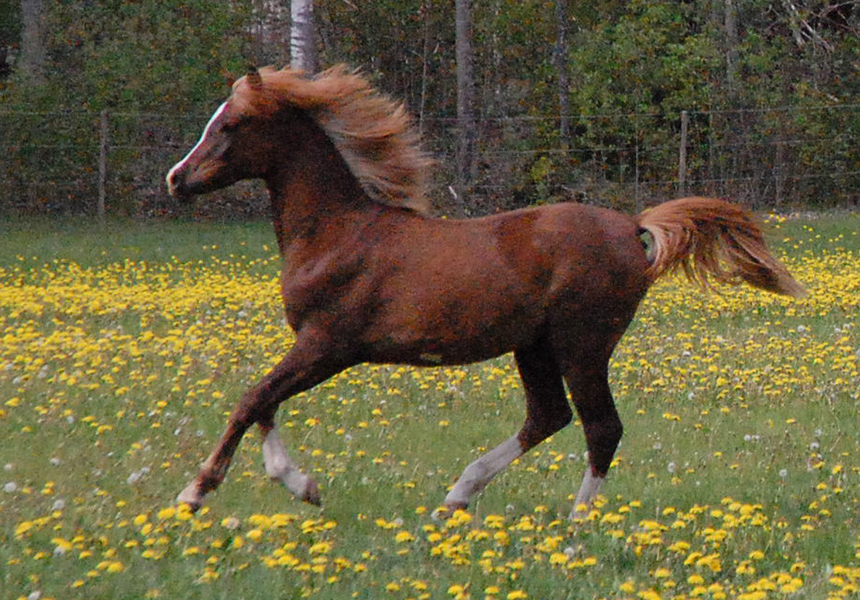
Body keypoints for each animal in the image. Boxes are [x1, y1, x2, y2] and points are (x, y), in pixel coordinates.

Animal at [168, 64, 808, 516]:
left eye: (229, 125)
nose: (176, 179)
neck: (336, 231)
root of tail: (633, 227)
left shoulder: (329, 344)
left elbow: (252, 398)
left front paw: (197, 492)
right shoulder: (315, 347)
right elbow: (265, 404)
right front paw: (303, 486)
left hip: (582, 344)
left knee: (601, 426)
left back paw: (575, 524)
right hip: (535, 347)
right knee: (548, 416)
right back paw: (458, 495)